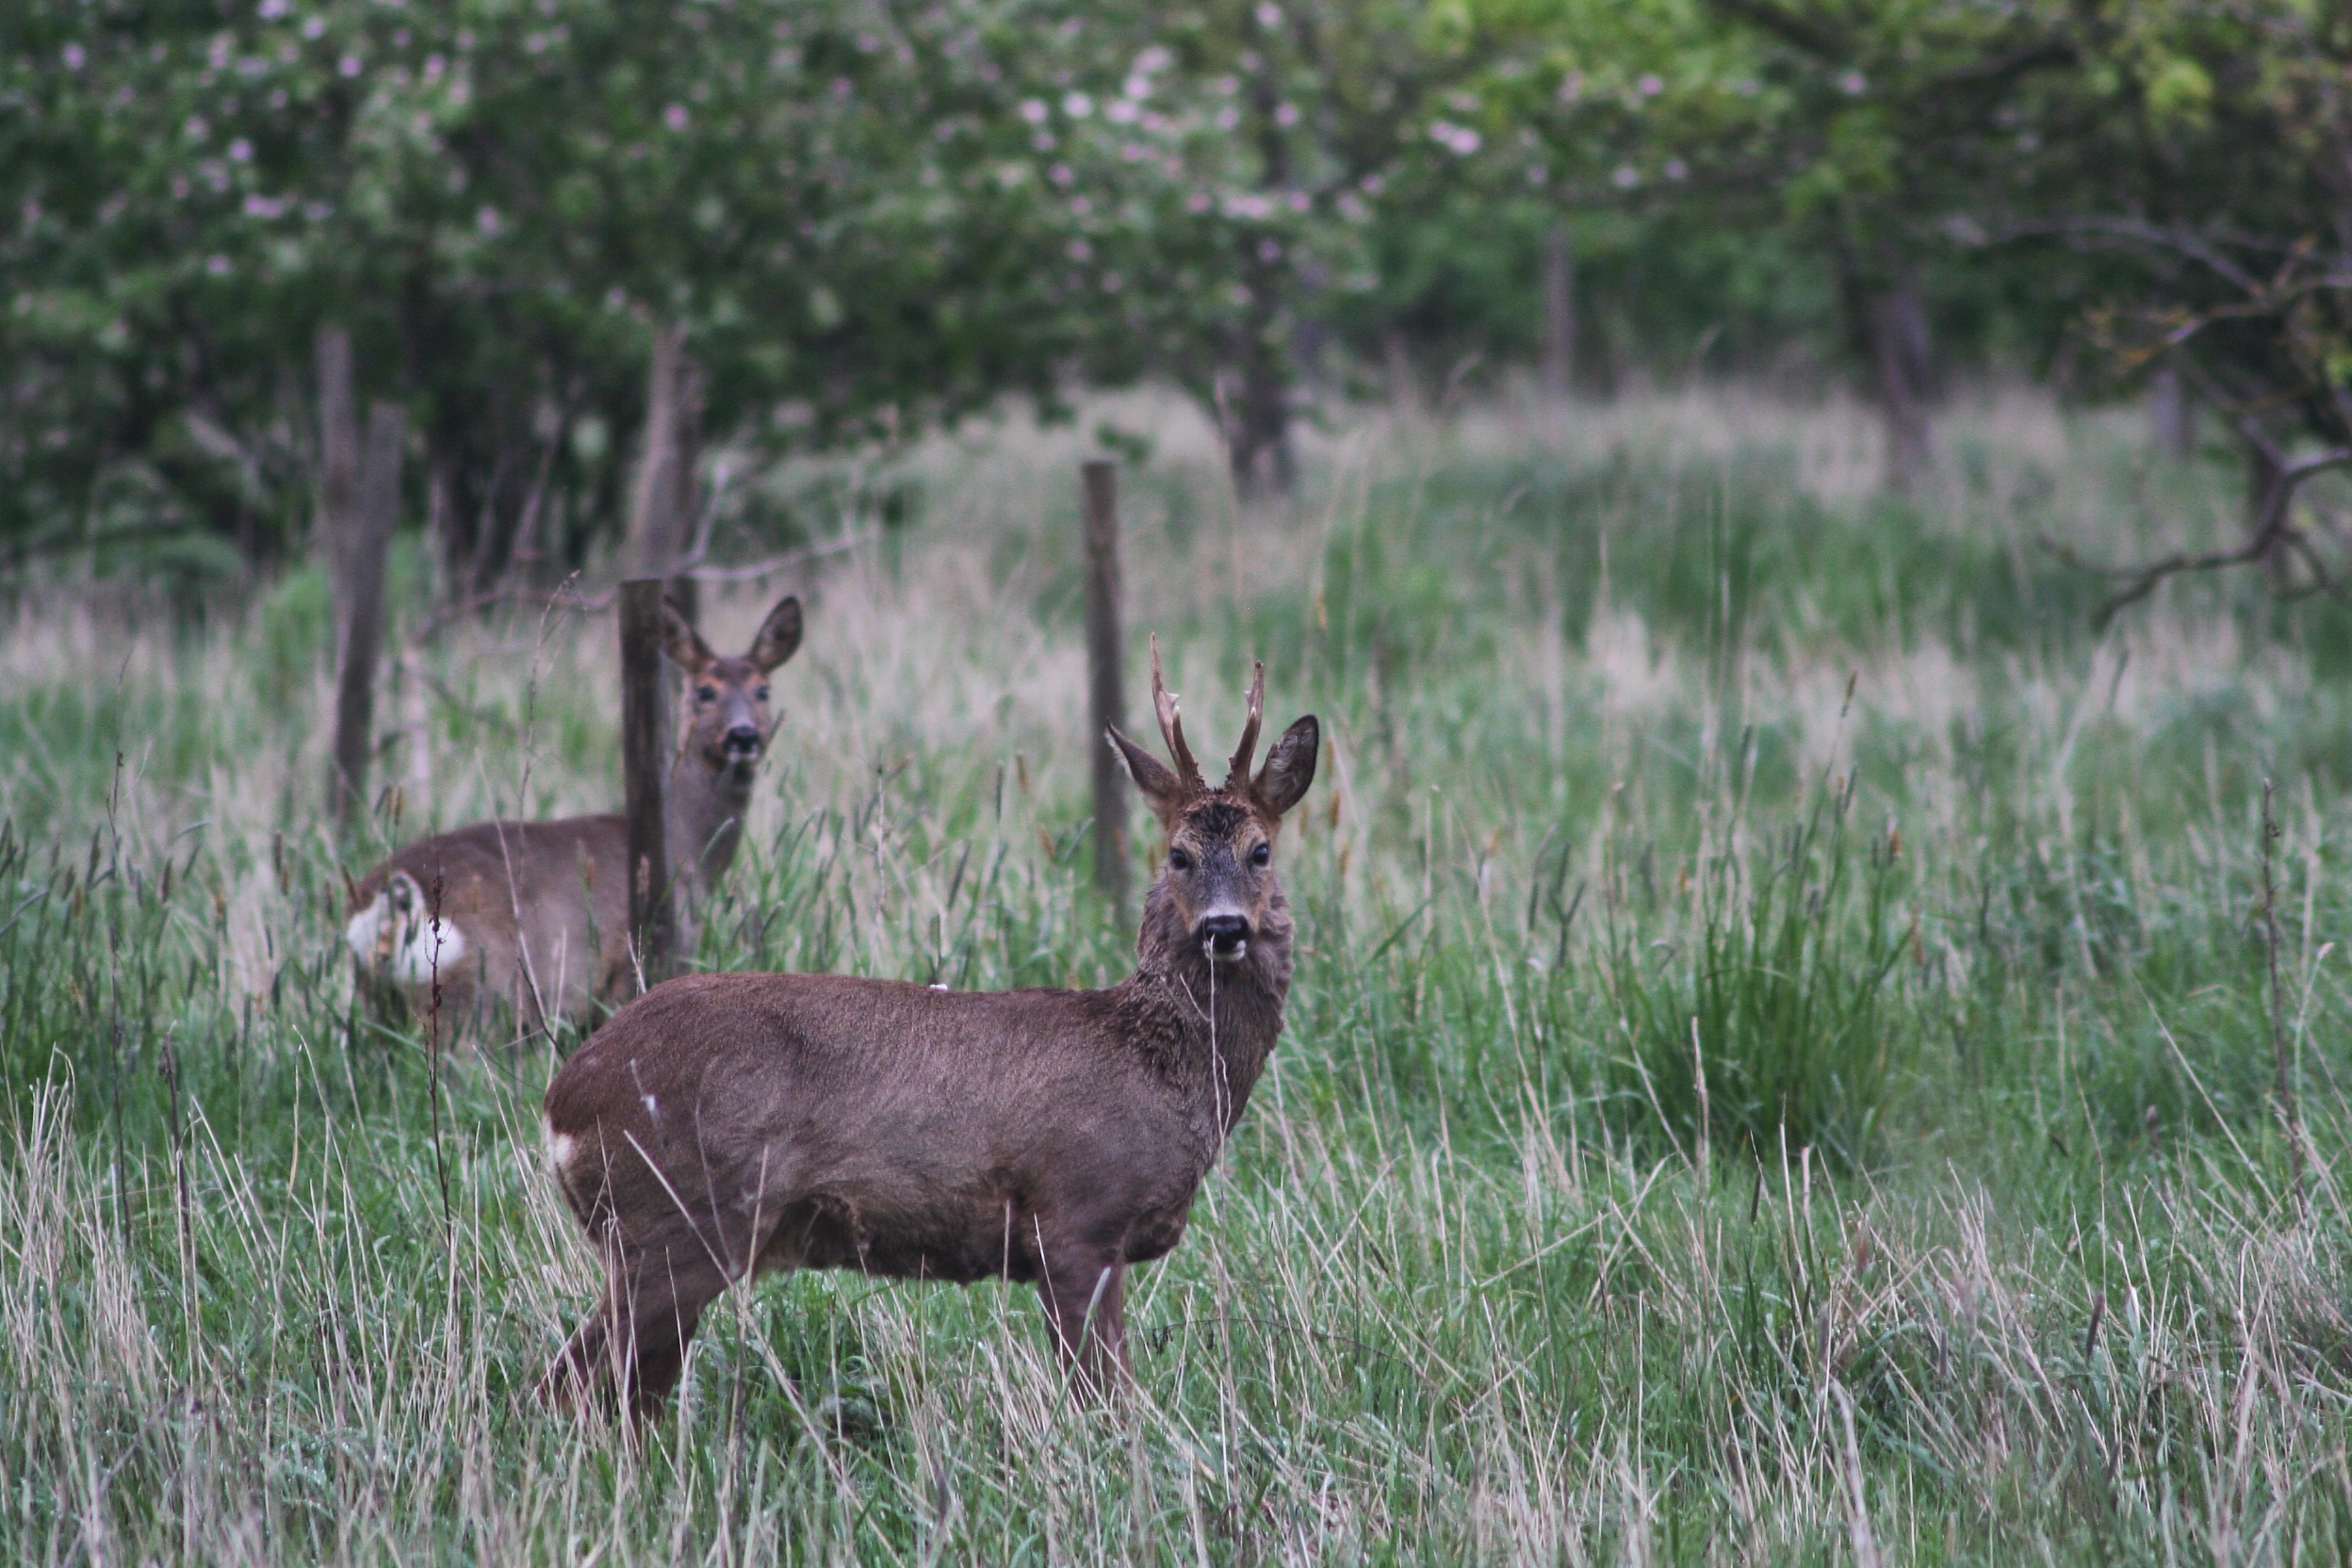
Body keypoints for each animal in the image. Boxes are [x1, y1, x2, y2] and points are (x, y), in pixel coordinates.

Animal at [343, 594, 803, 1035]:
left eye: (763, 690)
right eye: (705, 691)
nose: (743, 735)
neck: (688, 846)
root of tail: (391, 898)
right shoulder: (633, 961)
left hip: (380, 1000)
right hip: (473, 995)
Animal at [538, 645, 1318, 1422]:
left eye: (1261, 852)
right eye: (1179, 856)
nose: (1224, 927)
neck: (1160, 1068)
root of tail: (562, 1101)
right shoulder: (1077, 1217)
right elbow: (1103, 1397)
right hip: (675, 1219)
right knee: (573, 1386)